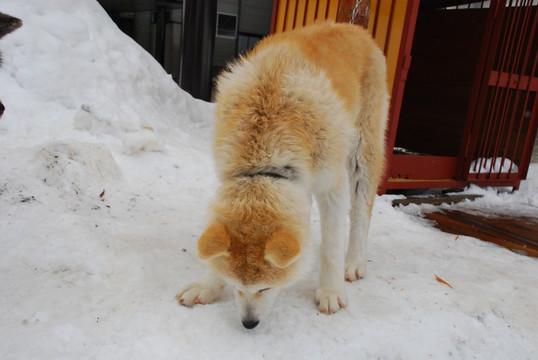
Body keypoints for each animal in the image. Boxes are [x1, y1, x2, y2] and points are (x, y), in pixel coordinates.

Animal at [178, 23, 388, 330]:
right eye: (236, 286)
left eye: (265, 287)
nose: (248, 324)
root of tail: (353, 26)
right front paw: (207, 285)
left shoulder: (332, 186)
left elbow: (331, 246)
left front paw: (330, 291)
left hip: (362, 152)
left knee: (362, 213)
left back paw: (354, 262)